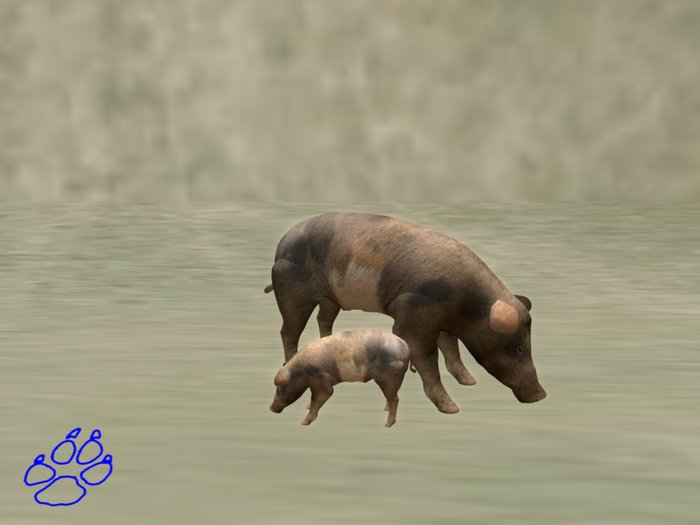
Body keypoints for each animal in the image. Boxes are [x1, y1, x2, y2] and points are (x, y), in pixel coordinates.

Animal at [265, 212, 546, 414]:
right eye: (519, 348)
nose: (540, 395)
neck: (466, 305)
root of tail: (281, 245)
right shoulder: (415, 317)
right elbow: (428, 359)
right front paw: (452, 409)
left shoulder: (442, 324)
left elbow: (451, 349)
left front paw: (469, 382)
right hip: (292, 290)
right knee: (289, 330)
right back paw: (288, 361)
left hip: (330, 298)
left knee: (323, 319)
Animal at [269, 330, 411, 427]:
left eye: (281, 389)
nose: (271, 408)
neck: (301, 370)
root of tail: (406, 348)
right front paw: (306, 406)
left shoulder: (320, 378)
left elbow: (322, 395)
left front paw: (303, 423)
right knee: (392, 396)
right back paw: (386, 410)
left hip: (388, 376)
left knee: (395, 399)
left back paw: (387, 425)